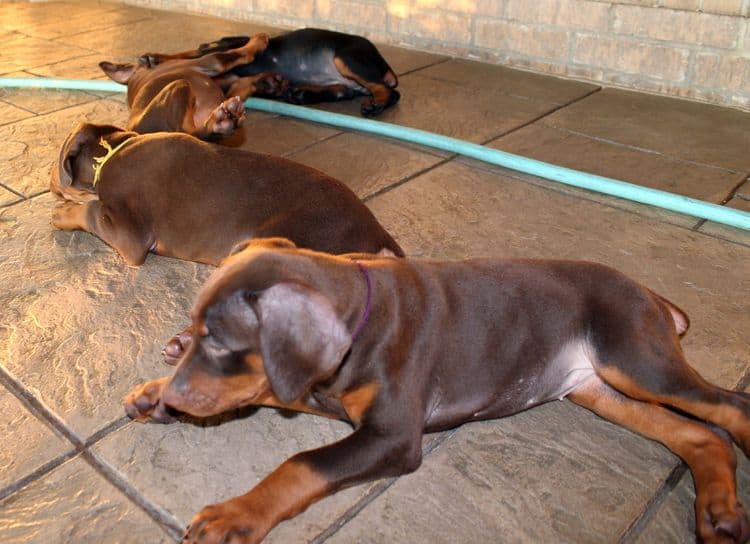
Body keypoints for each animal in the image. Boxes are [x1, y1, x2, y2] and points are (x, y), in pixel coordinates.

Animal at [100, 32, 288, 140]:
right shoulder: (208, 63)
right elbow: (234, 56)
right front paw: (258, 40)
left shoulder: (224, 95)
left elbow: (238, 83)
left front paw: (269, 82)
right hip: (180, 85)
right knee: (190, 132)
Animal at [125, 239, 750, 544]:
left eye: (220, 342)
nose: (176, 399)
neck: (365, 316)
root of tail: (652, 295)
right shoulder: (312, 386)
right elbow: (271, 390)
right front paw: (155, 394)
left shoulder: (394, 437)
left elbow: (300, 464)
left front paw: (235, 514)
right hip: (597, 388)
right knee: (700, 436)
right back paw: (717, 513)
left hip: (636, 361)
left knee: (727, 407)